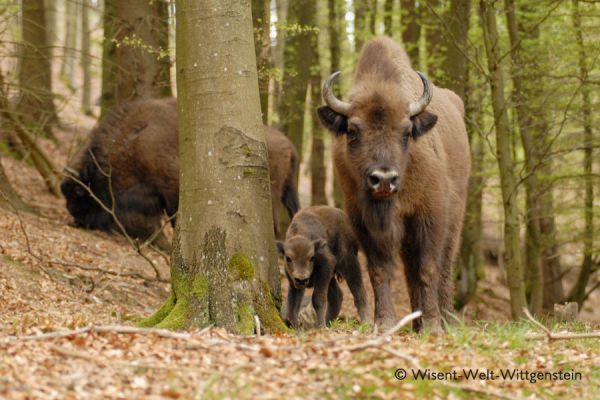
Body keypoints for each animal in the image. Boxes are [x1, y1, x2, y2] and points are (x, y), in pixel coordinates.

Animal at [316, 36, 472, 332]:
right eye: (352, 131)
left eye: (407, 132)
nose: (384, 179)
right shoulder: (363, 222)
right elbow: (380, 271)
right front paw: (385, 323)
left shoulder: (430, 215)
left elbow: (428, 268)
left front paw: (433, 326)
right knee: (410, 270)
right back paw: (416, 320)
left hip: (454, 219)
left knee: (445, 266)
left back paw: (447, 320)